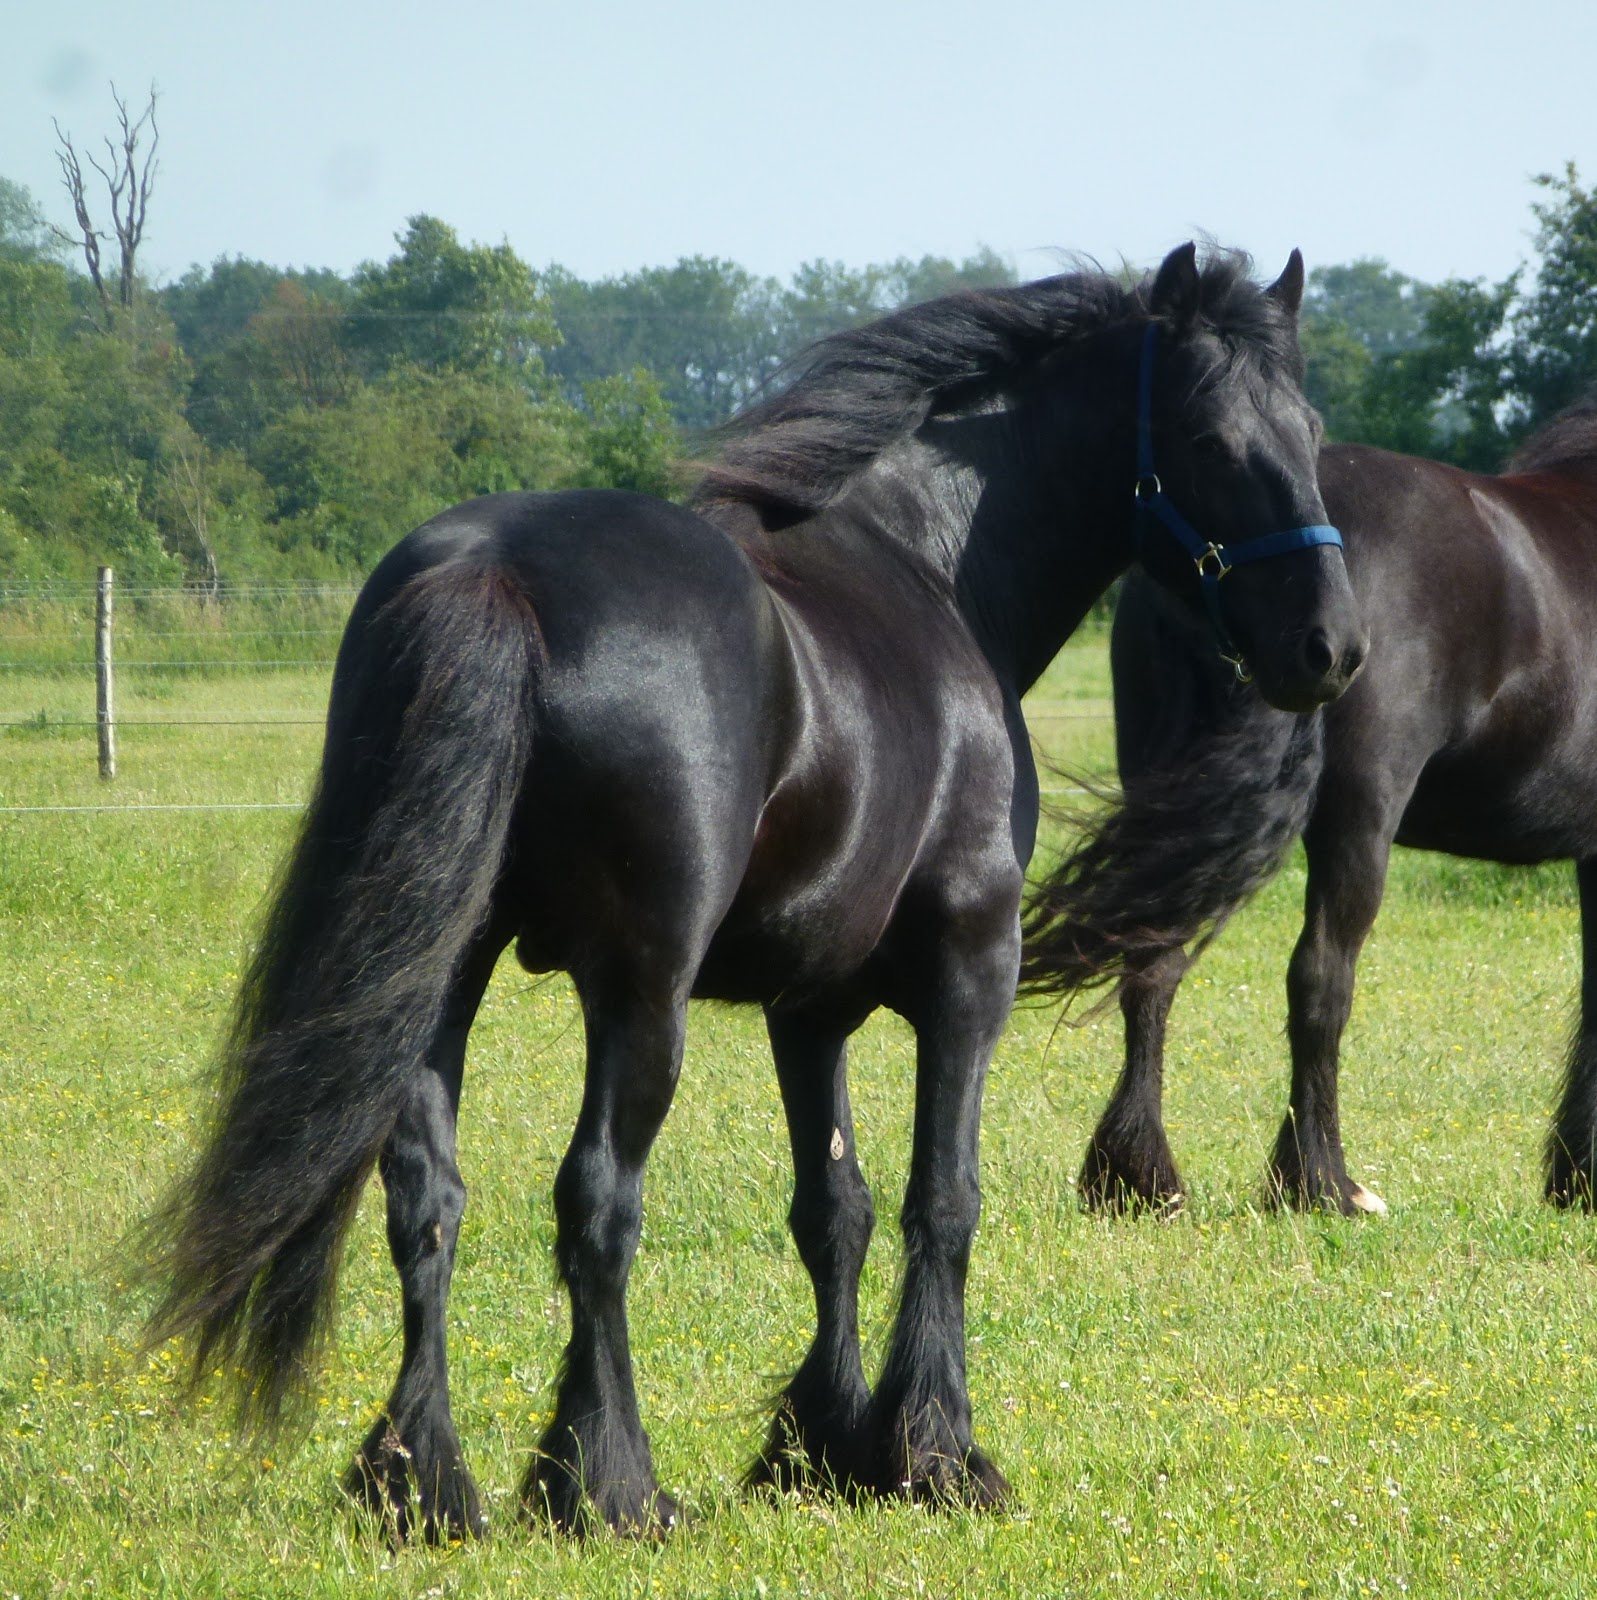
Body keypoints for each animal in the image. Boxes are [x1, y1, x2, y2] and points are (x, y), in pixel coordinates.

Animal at [140, 243, 1363, 1541]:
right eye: (1209, 437)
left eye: (1309, 427)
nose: (1330, 648)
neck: (925, 562)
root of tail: (495, 575)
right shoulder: (969, 973)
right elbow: (943, 1199)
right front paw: (935, 1451)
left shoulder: (807, 1007)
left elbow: (835, 1208)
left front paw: (822, 1443)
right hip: (639, 994)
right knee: (597, 1203)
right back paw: (612, 1481)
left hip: (437, 976)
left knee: (428, 1199)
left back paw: (426, 1480)